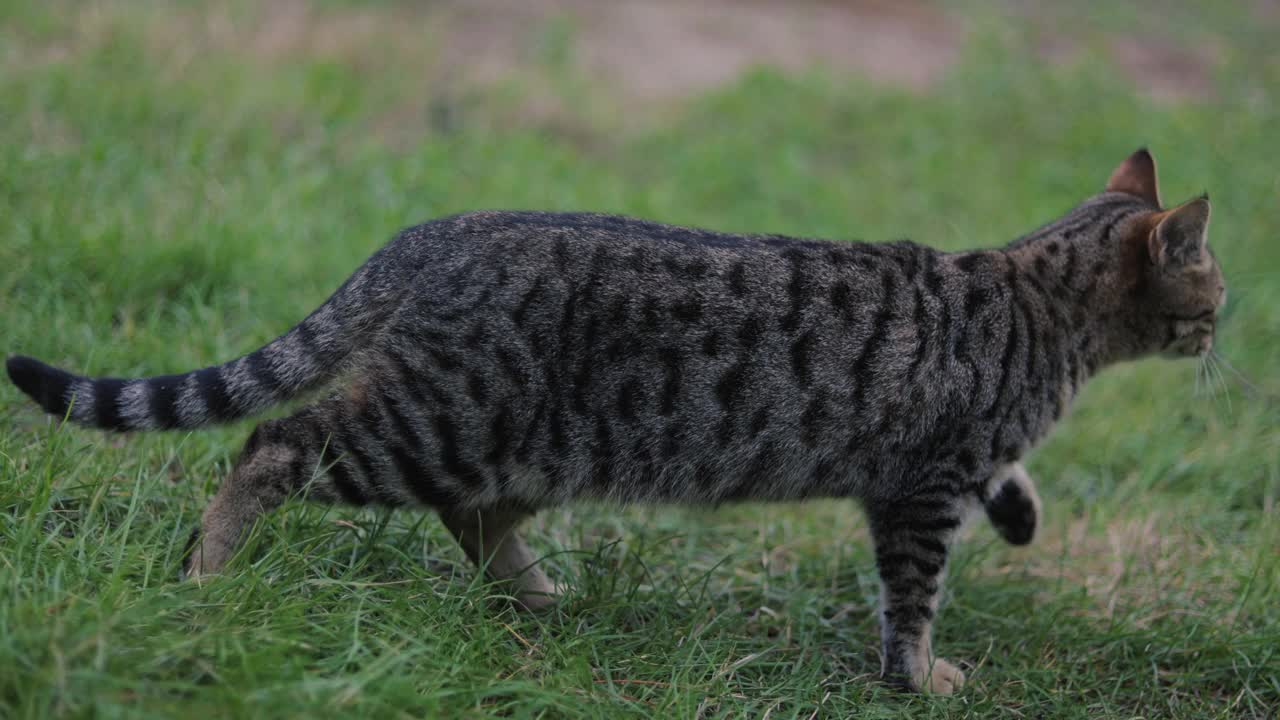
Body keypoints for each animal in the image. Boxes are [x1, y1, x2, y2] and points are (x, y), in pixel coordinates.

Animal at [5, 149, 1223, 691]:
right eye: (1213, 285)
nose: (1231, 323)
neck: (1032, 302)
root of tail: (425, 236)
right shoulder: (919, 490)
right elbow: (913, 600)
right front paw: (918, 677)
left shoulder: (940, 473)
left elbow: (1003, 488)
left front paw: (1019, 511)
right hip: (430, 424)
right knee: (270, 445)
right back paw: (209, 574)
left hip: (523, 446)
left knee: (472, 516)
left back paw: (542, 597)